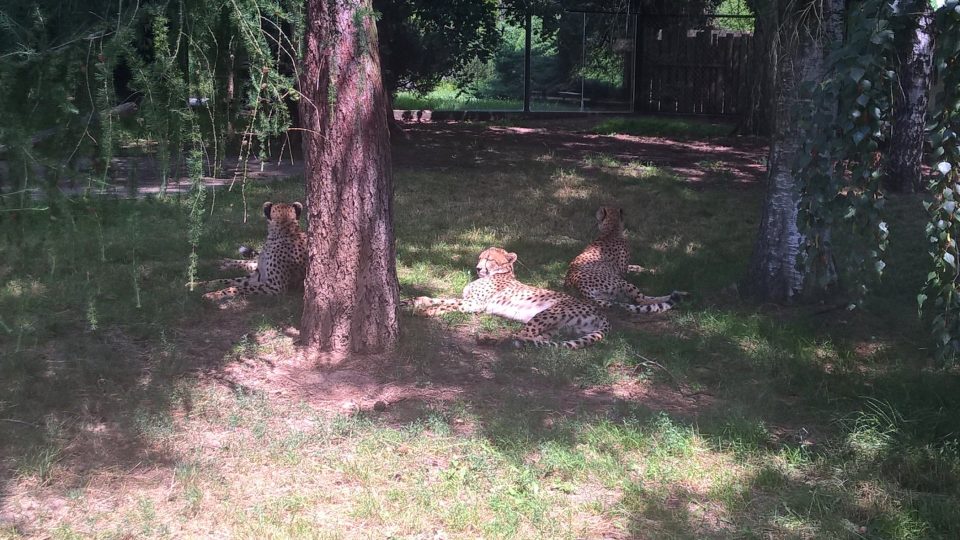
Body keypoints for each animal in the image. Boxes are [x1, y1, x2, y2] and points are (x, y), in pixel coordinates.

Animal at [406, 248, 608, 350]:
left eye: (489, 259)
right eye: (480, 257)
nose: (478, 268)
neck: (501, 273)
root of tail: (601, 312)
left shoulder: (475, 304)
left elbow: (446, 305)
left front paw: (425, 311)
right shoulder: (469, 301)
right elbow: (436, 299)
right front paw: (412, 302)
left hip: (549, 313)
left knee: (521, 335)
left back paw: (491, 340)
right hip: (560, 328)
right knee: (534, 339)